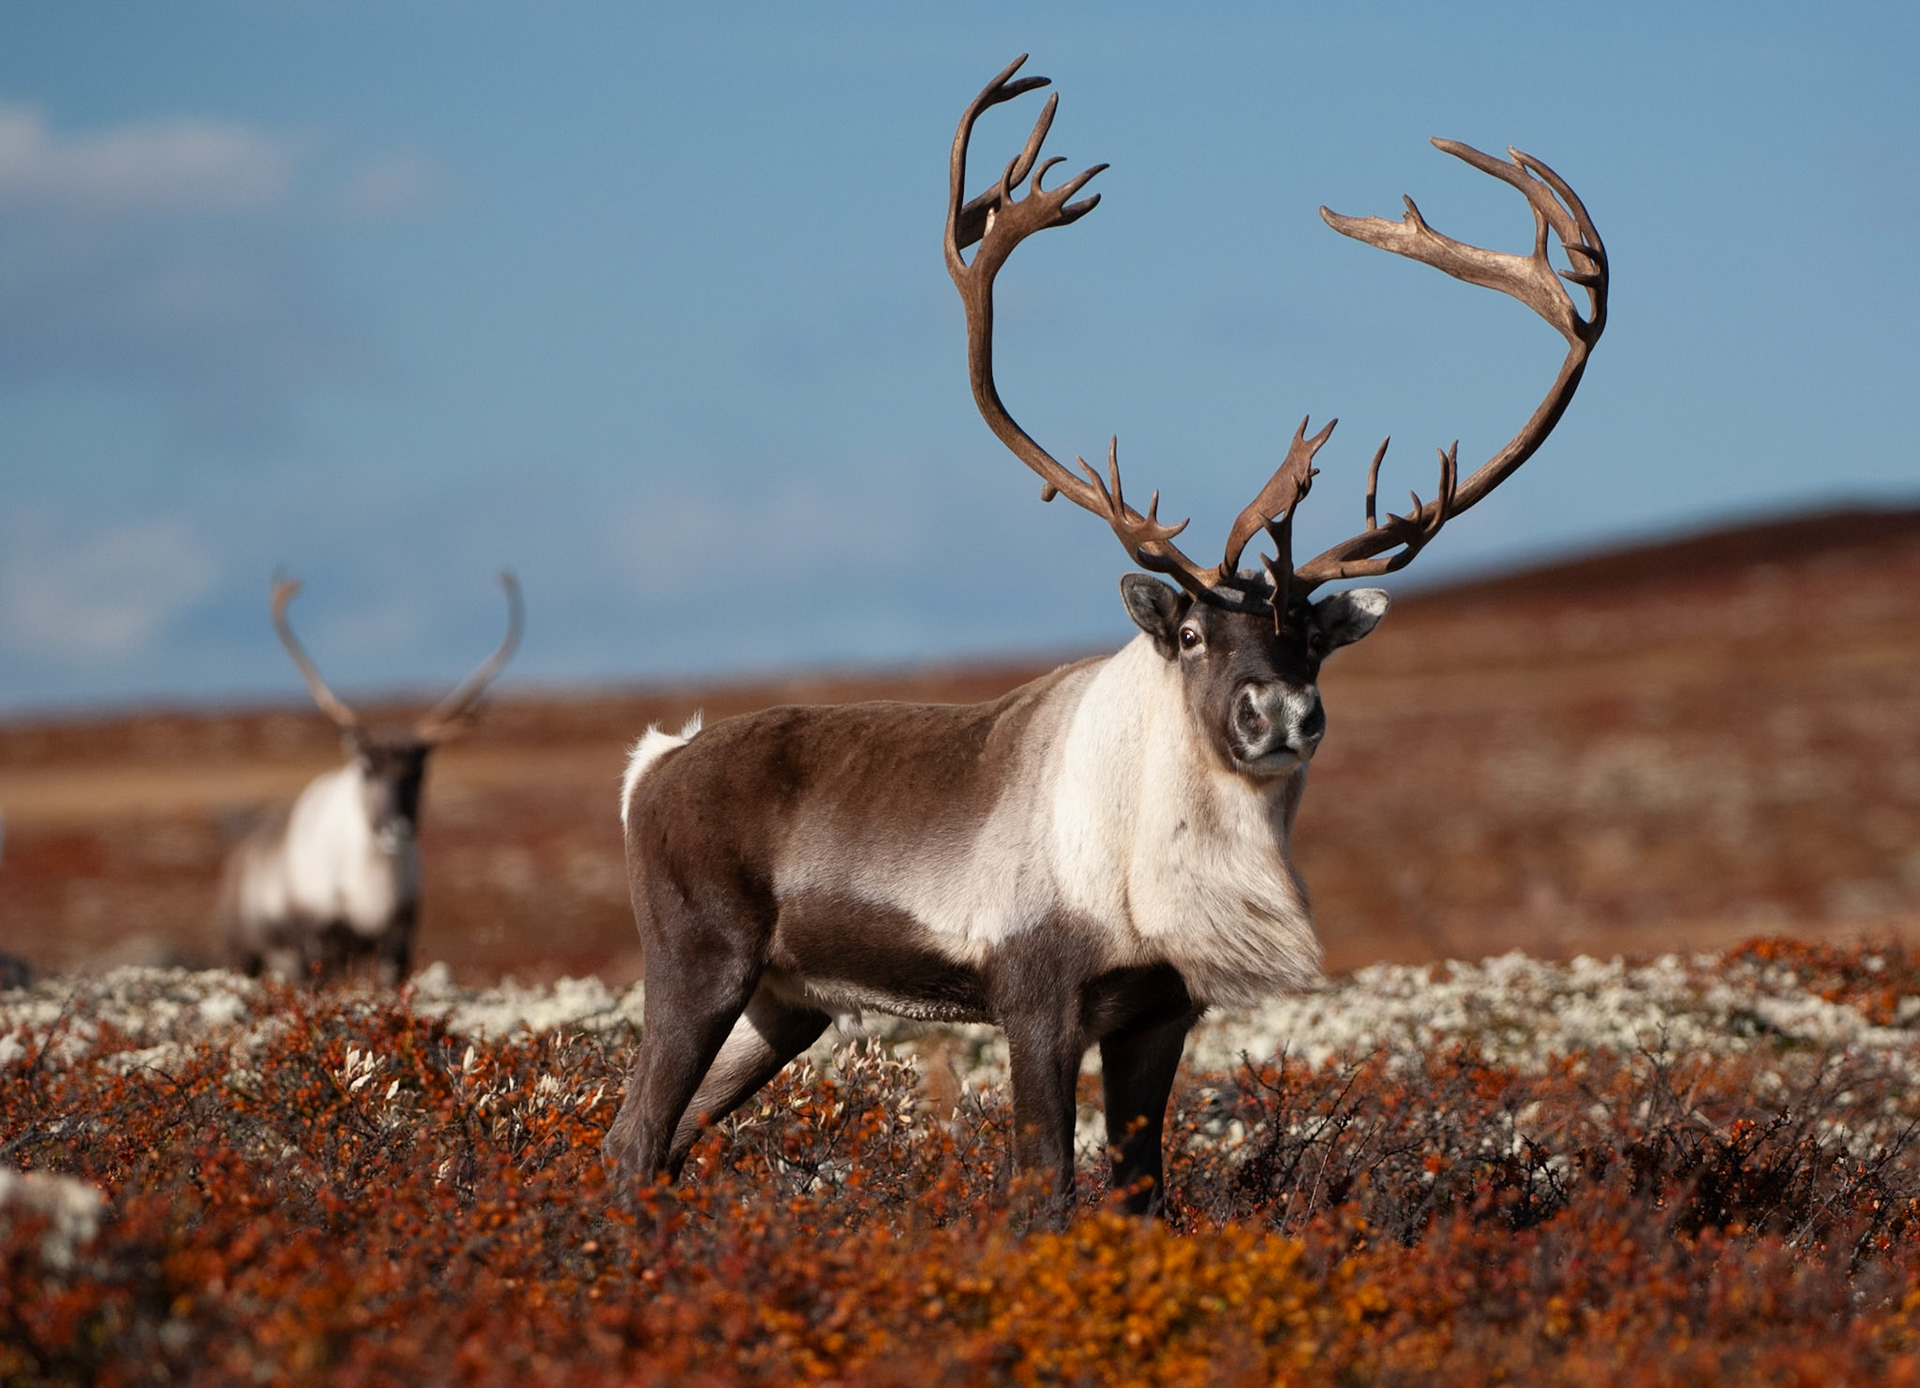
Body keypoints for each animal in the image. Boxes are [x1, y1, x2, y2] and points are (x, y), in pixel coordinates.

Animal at [217, 573, 523, 986]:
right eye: (366, 766)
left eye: (421, 769)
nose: (397, 827)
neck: (371, 884)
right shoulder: (315, 936)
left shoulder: (398, 935)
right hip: (245, 952)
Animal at [603, 56, 1607, 1218]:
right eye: (1192, 633)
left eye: (1310, 637)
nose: (1281, 713)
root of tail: (653, 763)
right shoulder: (1036, 998)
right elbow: (1046, 1184)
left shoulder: (1160, 1015)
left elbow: (1142, 1190)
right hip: (701, 958)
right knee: (636, 1132)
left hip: (785, 1001)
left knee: (655, 1140)